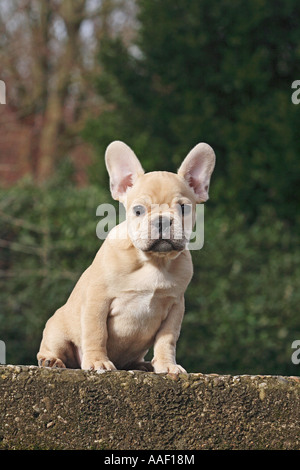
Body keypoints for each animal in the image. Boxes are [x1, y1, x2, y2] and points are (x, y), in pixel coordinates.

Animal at [37, 141, 216, 372]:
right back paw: (51, 360)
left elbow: (166, 340)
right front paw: (97, 361)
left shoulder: (175, 307)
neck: (153, 261)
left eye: (183, 208)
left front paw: (167, 365)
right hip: (57, 331)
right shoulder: (97, 300)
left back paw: (144, 365)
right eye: (138, 210)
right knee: (54, 347)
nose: (162, 220)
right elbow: (96, 333)